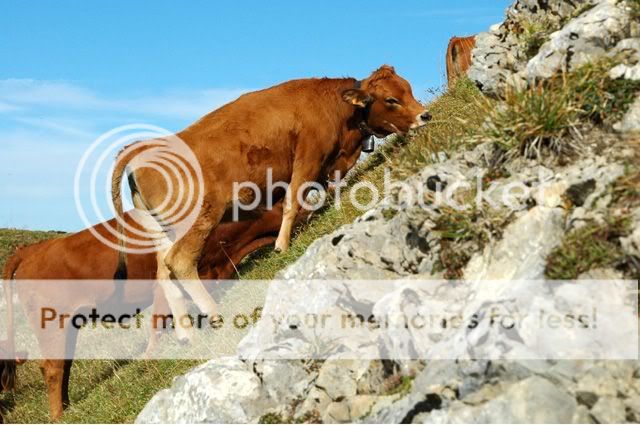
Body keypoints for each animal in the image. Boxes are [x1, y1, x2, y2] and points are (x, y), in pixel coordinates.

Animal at [110, 65, 431, 342]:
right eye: (390, 99)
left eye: (407, 88)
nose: (425, 116)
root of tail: (138, 150)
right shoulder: (308, 156)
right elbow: (293, 201)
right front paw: (282, 244)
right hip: (198, 220)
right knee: (180, 262)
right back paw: (212, 313)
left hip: (162, 231)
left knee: (164, 272)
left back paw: (186, 330)